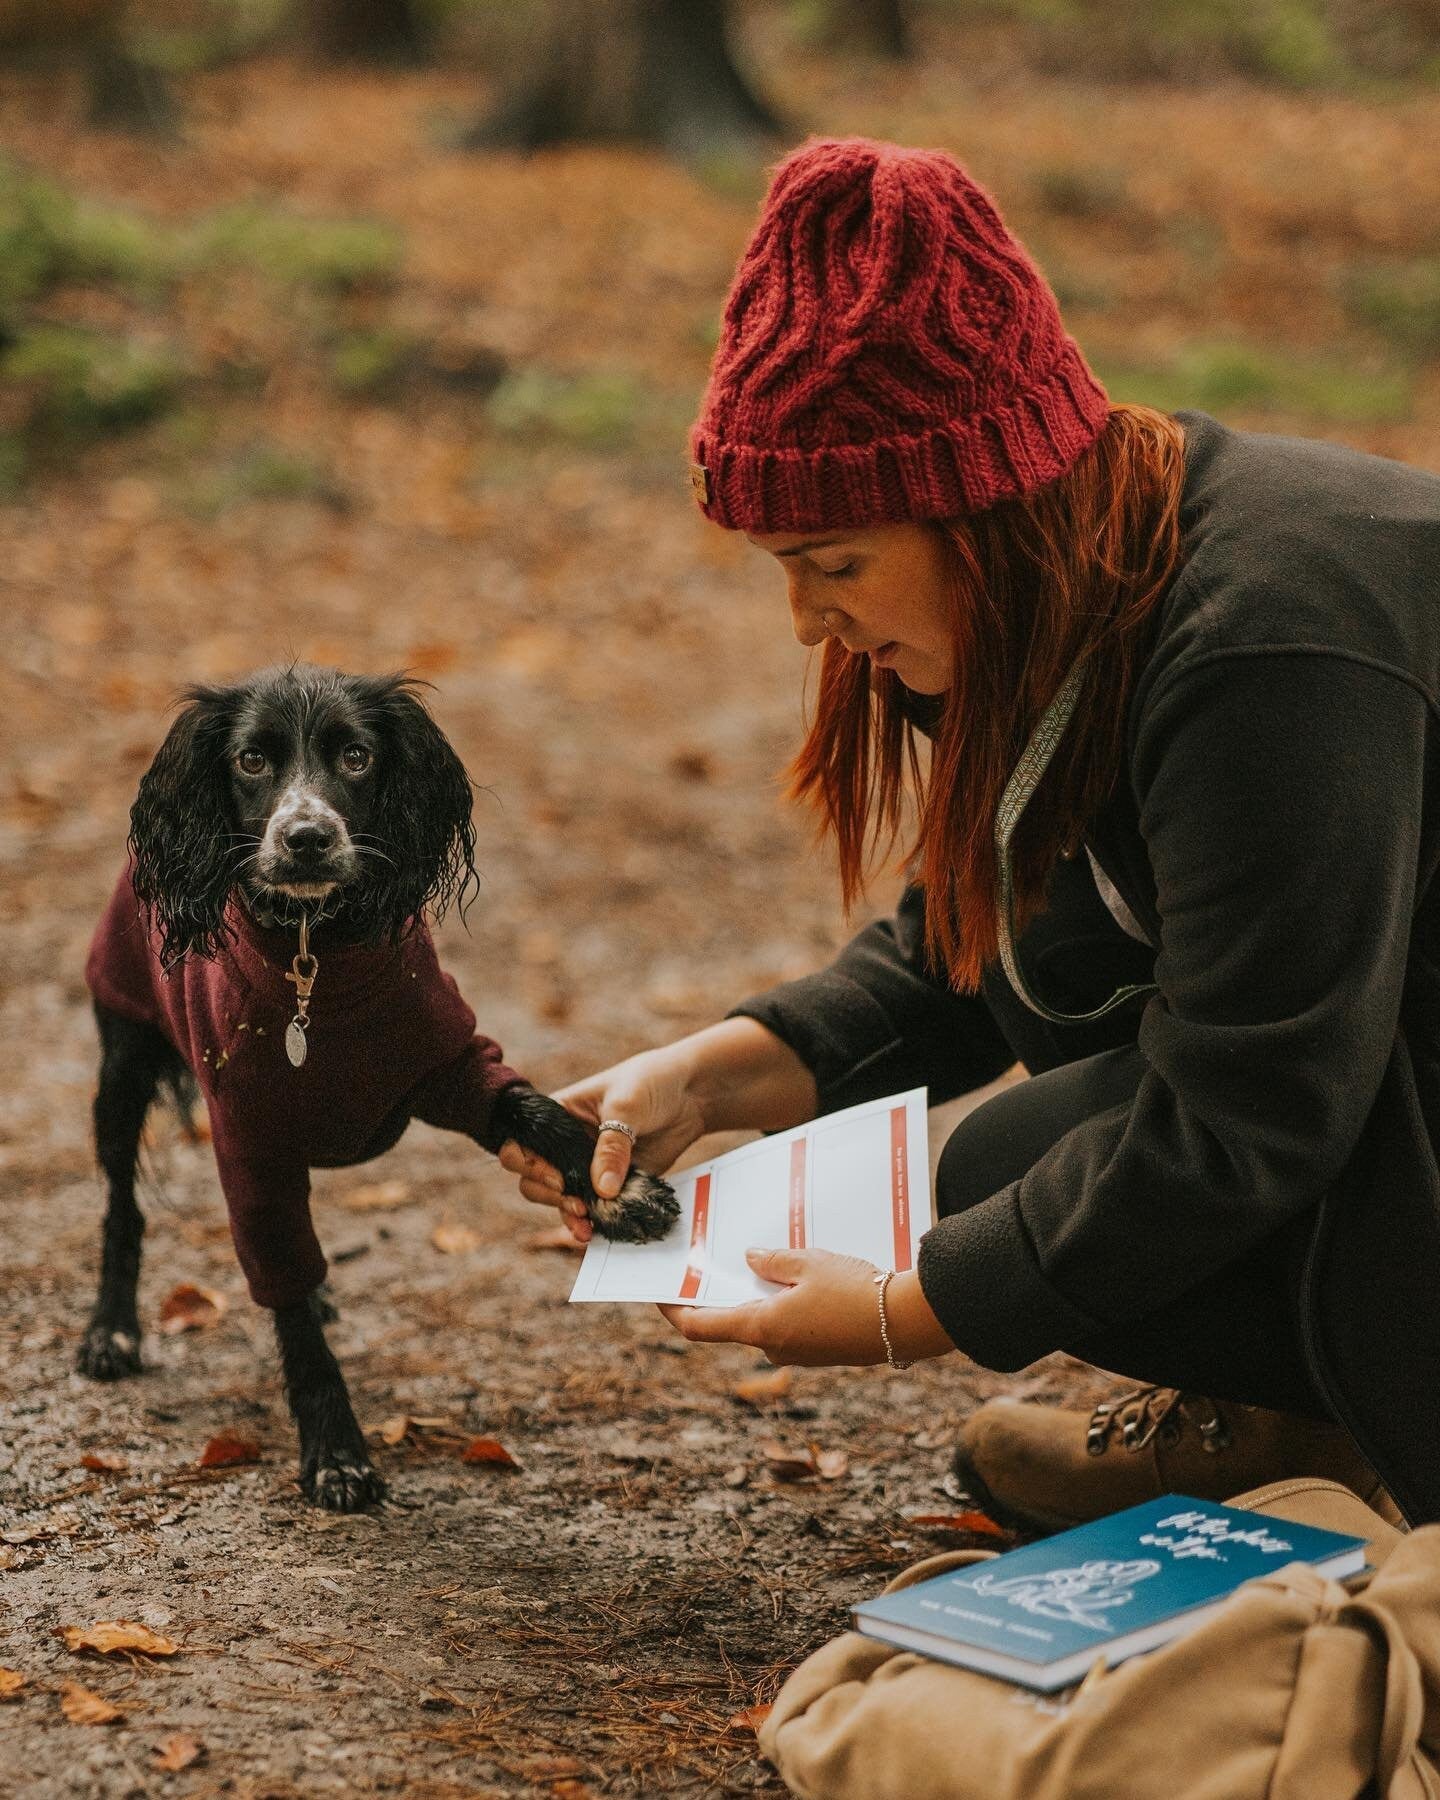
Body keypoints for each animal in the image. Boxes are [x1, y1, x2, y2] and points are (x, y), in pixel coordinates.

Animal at [81, 669, 676, 1512]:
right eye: (252, 760)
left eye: (356, 756)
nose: (306, 837)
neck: (315, 955)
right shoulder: (250, 1142)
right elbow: (289, 1305)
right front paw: (336, 1452)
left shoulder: (452, 1064)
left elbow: (533, 1107)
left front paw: (620, 1188)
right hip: (121, 1069)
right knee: (124, 1208)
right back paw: (110, 1330)